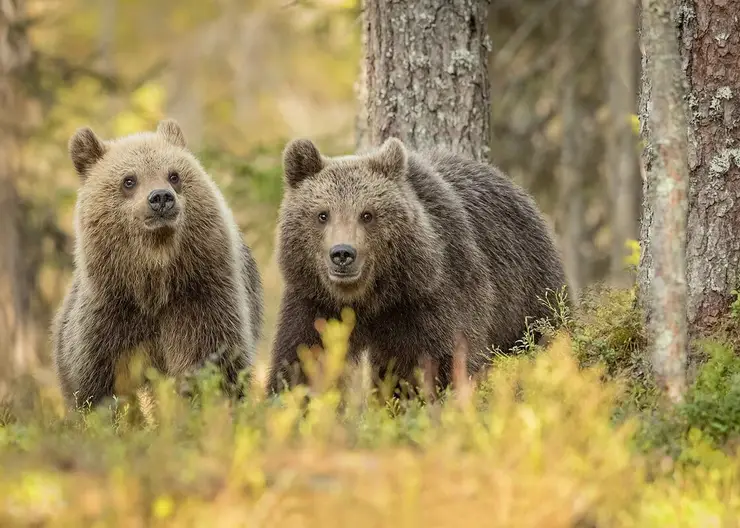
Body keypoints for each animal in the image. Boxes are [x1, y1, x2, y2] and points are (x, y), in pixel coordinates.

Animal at [49, 119, 264, 408]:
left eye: (174, 175)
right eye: (129, 180)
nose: (161, 197)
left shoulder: (200, 297)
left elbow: (210, 360)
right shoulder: (108, 313)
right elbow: (94, 383)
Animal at [268, 137, 568, 396]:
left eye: (367, 214)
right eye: (322, 214)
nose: (342, 253)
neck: (369, 299)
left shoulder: (426, 301)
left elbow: (438, 364)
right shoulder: (314, 304)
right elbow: (301, 363)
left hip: (526, 293)